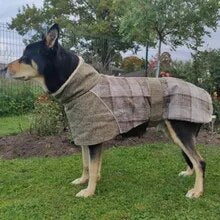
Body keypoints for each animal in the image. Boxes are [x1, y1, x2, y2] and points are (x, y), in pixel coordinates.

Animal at [7, 23, 213, 199]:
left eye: (25, 57)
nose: (4, 69)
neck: (82, 85)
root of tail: (205, 92)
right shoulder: (86, 135)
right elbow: (87, 165)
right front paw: (84, 180)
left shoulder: (93, 138)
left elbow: (92, 166)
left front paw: (89, 191)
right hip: (175, 134)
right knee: (192, 160)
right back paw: (188, 174)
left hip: (181, 132)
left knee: (200, 162)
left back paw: (197, 191)